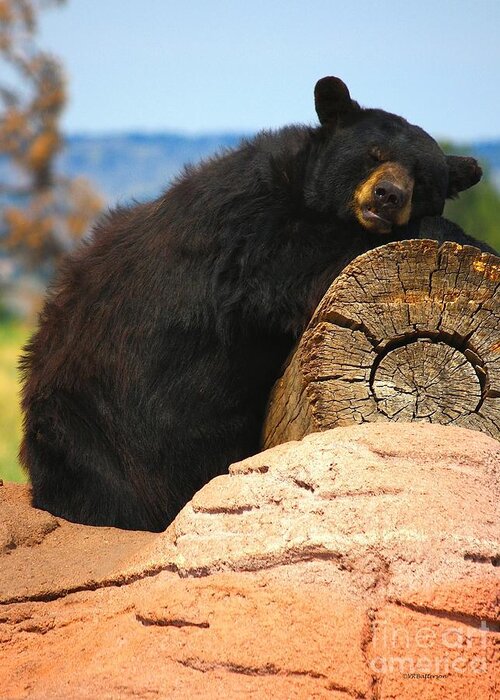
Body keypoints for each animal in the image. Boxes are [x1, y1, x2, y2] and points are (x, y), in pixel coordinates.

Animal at [18, 76, 492, 532]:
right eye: (373, 155)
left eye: (423, 179)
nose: (389, 196)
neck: (308, 195)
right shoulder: (251, 228)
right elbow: (303, 269)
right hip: (87, 426)